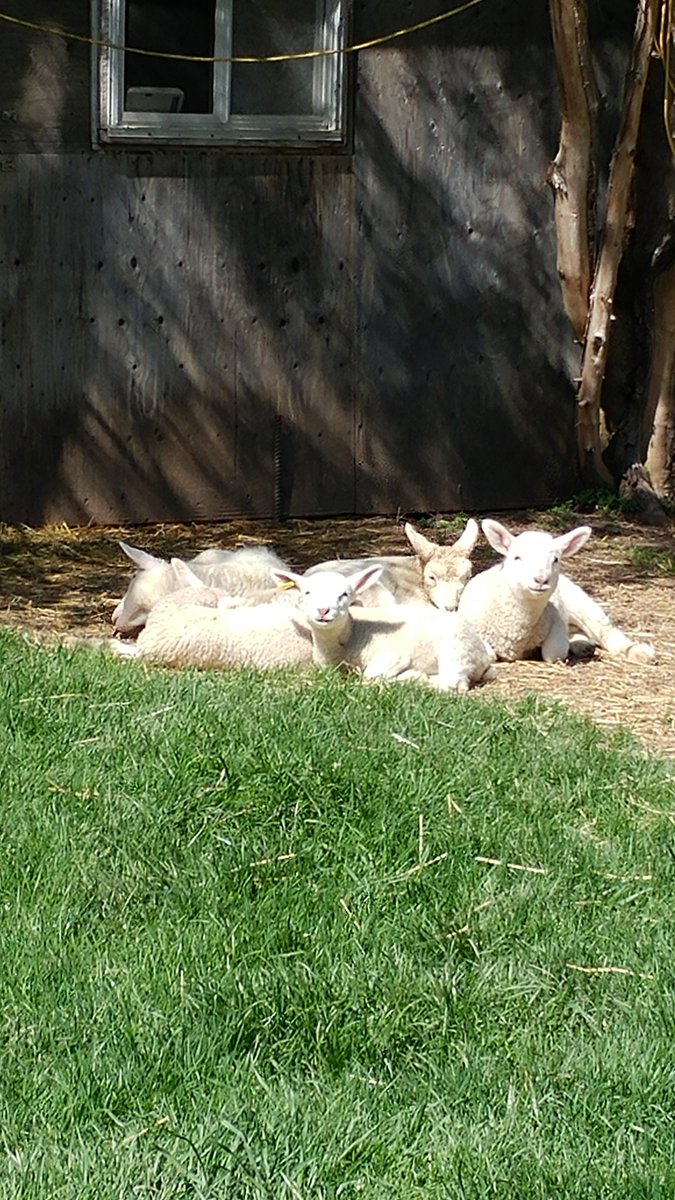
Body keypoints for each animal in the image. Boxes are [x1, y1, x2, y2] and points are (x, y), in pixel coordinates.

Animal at [272, 566, 496, 691]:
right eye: (307, 592)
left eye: (344, 594)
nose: (323, 610)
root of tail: (483, 654)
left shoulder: (395, 655)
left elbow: (371, 676)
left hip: (455, 647)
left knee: (453, 682)